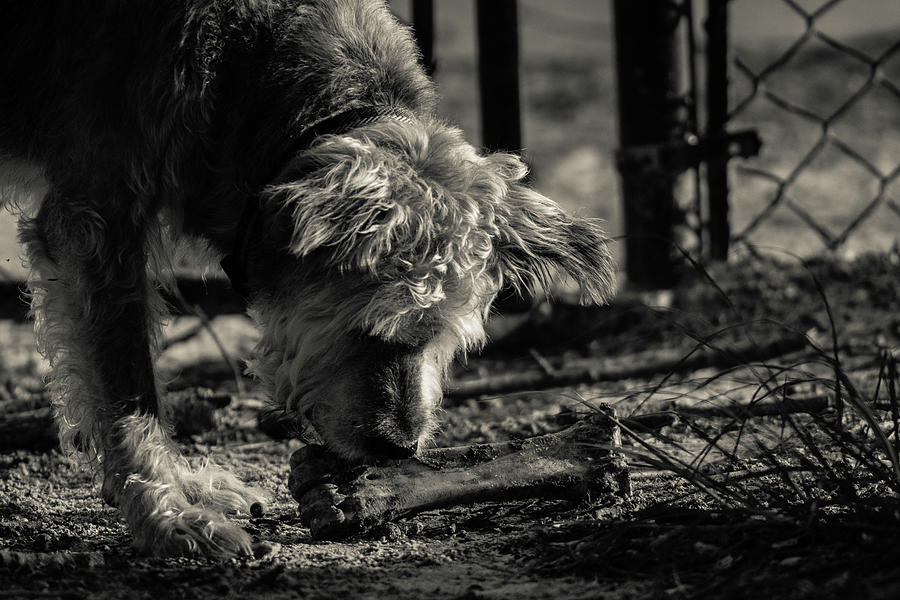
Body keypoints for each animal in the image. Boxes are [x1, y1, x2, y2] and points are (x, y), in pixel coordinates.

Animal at [0, 0, 612, 556]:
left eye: (443, 338)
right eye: (368, 327)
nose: (398, 449)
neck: (242, 66)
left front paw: (184, 490)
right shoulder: (98, 217)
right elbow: (129, 392)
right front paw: (167, 515)